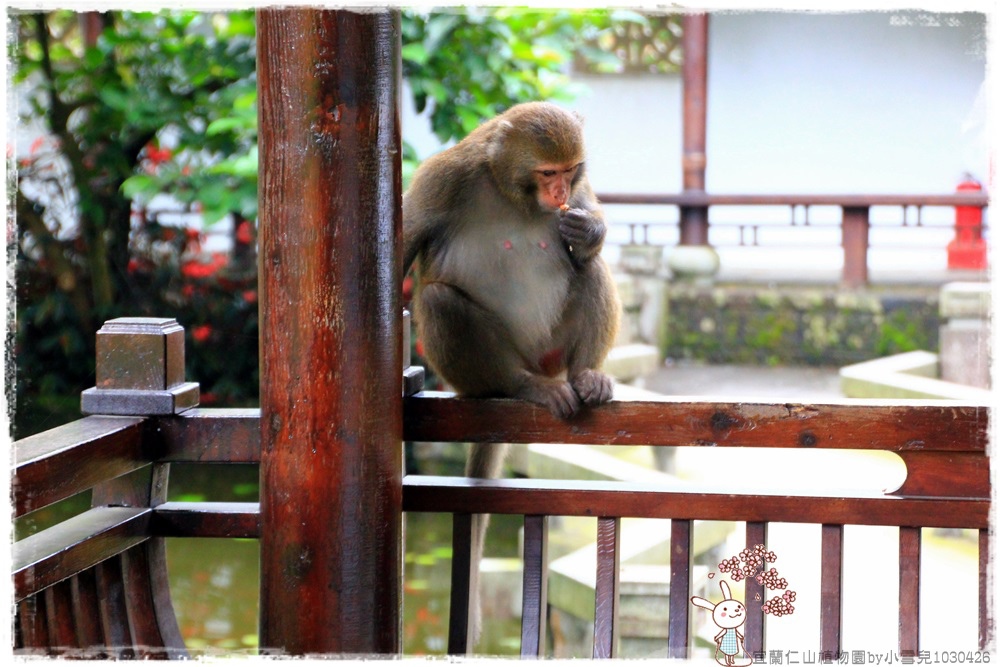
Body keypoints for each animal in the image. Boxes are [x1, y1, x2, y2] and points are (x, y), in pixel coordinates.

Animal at [402, 102, 620, 648]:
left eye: (569, 171)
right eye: (546, 173)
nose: (560, 195)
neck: (506, 188)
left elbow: (587, 238)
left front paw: (590, 231)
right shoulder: (442, 178)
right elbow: (407, 241)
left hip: (553, 349)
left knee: (590, 270)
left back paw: (587, 376)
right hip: (481, 369)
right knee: (440, 300)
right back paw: (524, 388)